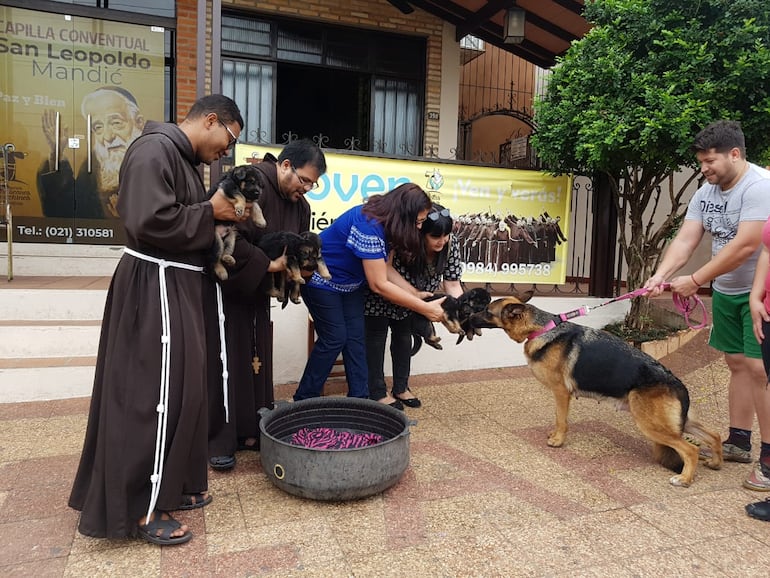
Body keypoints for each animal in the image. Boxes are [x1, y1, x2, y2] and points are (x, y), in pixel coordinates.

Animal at [468, 290, 720, 484]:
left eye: (487, 311)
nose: (468, 317)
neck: (542, 327)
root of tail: (678, 384)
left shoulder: (561, 393)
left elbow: (561, 419)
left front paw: (558, 441)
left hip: (652, 425)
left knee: (691, 449)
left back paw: (685, 479)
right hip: (680, 423)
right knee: (714, 435)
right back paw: (716, 462)